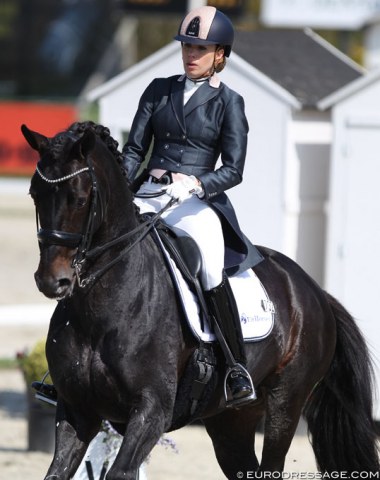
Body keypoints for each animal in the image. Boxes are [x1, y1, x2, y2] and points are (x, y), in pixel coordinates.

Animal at [22, 121, 378, 480]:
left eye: (80, 199)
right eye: (34, 194)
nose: (52, 280)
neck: (101, 309)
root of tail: (314, 290)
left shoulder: (152, 409)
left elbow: (119, 471)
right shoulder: (77, 410)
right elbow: (56, 472)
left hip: (285, 403)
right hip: (230, 420)